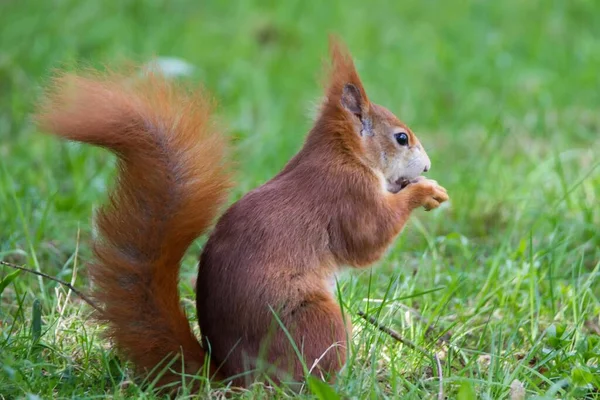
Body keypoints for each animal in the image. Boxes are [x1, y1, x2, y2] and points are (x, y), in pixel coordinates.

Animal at [35, 39, 448, 392]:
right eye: (401, 138)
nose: (428, 166)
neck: (344, 155)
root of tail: (233, 379)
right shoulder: (348, 195)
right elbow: (368, 241)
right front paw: (425, 192)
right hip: (317, 322)